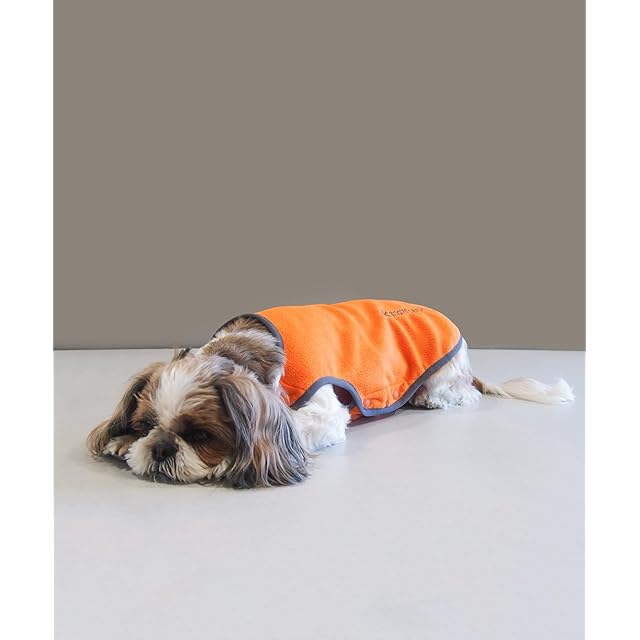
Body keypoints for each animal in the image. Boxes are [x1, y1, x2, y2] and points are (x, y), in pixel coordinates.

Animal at [87, 299, 574, 488]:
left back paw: (432, 398)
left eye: (201, 436)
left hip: (443, 373)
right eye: (145, 425)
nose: (161, 447)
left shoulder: (319, 413)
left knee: (460, 393)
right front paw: (121, 442)